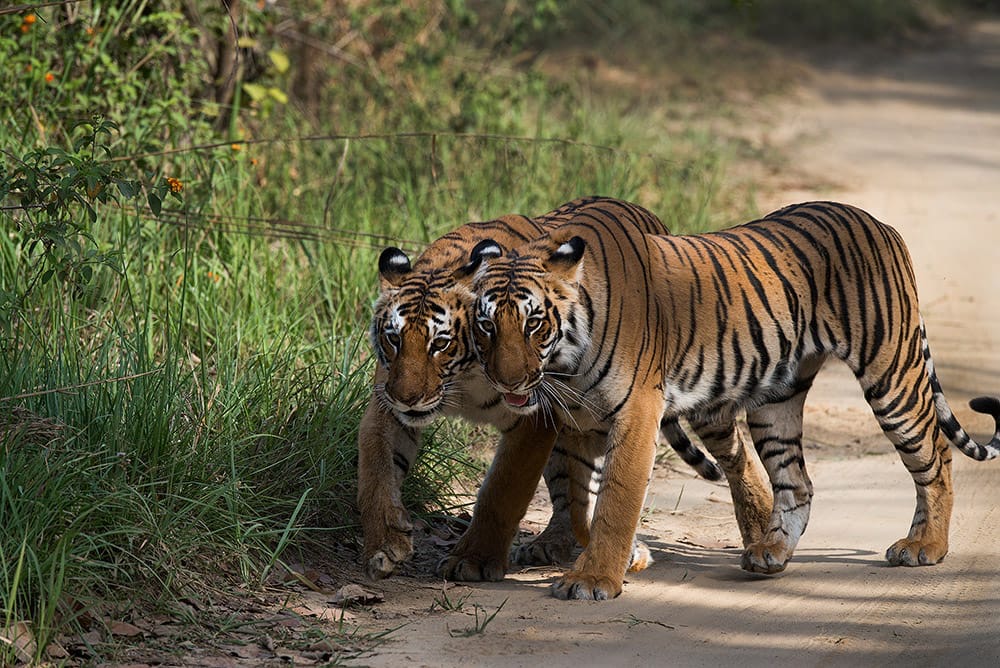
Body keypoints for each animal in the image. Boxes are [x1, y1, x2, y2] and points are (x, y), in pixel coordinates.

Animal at [358, 196, 722, 581]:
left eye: (440, 343)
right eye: (394, 339)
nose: (407, 398)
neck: (462, 380)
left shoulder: (533, 418)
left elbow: (503, 489)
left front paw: (472, 559)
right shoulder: (386, 404)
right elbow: (375, 469)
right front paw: (385, 543)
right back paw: (552, 544)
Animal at [439, 199, 1000, 600]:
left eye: (534, 322)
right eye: (486, 326)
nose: (507, 381)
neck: (565, 362)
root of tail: (878, 222)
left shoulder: (636, 412)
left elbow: (615, 500)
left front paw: (594, 580)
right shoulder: (580, 420)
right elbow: (579, 496)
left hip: (891, 373)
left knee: (936, 454)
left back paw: (925, 546)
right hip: (778, 402)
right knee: (797, 481)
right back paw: (771, 551)